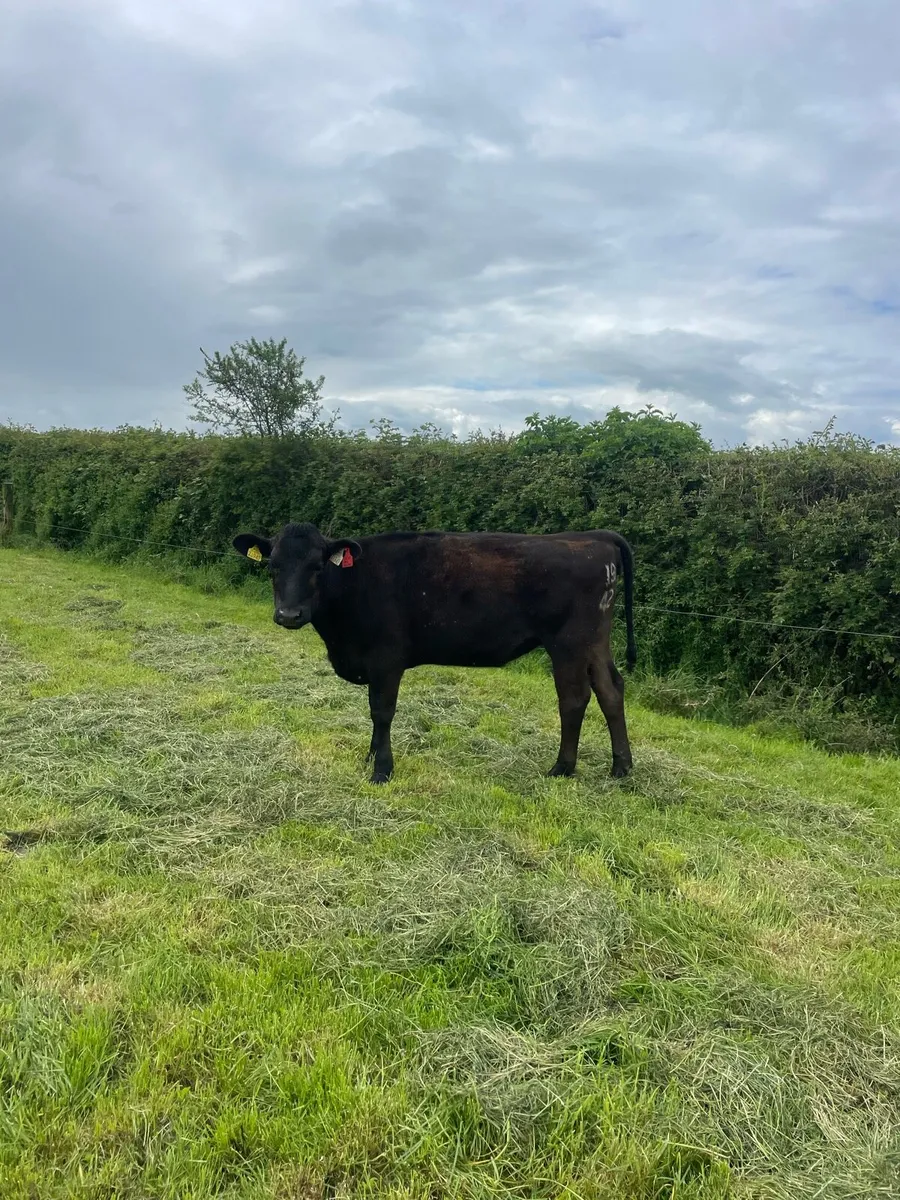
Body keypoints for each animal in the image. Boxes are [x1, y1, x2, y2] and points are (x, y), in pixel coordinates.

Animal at [233, 523, 636, 784]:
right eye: (272, 566)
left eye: (317, 566)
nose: (288, 615)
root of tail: (594, 537)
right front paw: (370, 758)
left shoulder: (386, 659)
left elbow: (381, 712)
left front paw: (381, 769)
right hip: (594, 642)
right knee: (610, 690)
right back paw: (621, 768)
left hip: (568, 643)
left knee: (574, 698)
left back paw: (562, 769)